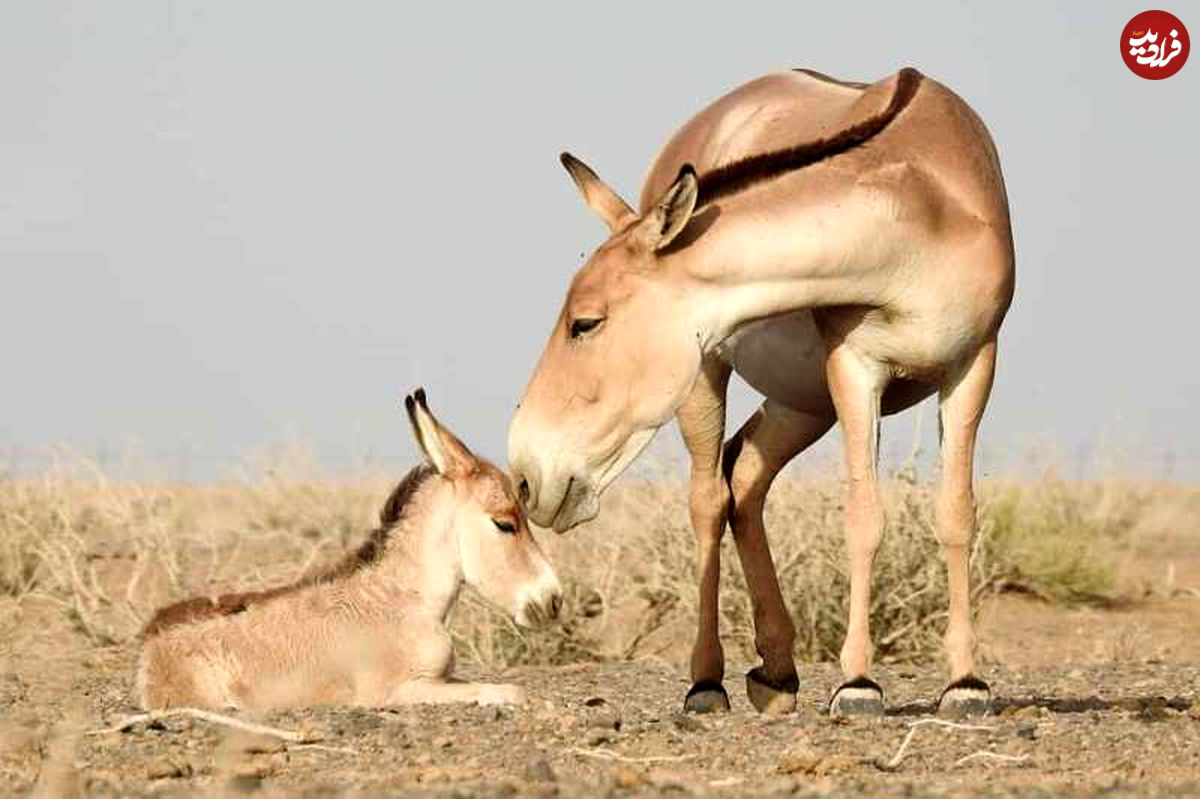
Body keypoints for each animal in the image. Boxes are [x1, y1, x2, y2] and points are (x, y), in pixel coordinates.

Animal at [137, 388, 561, 705]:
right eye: (505, 523)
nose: (553, 599)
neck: (402, 599)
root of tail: (149, 644)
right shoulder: (395, 691)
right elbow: (511, 691)